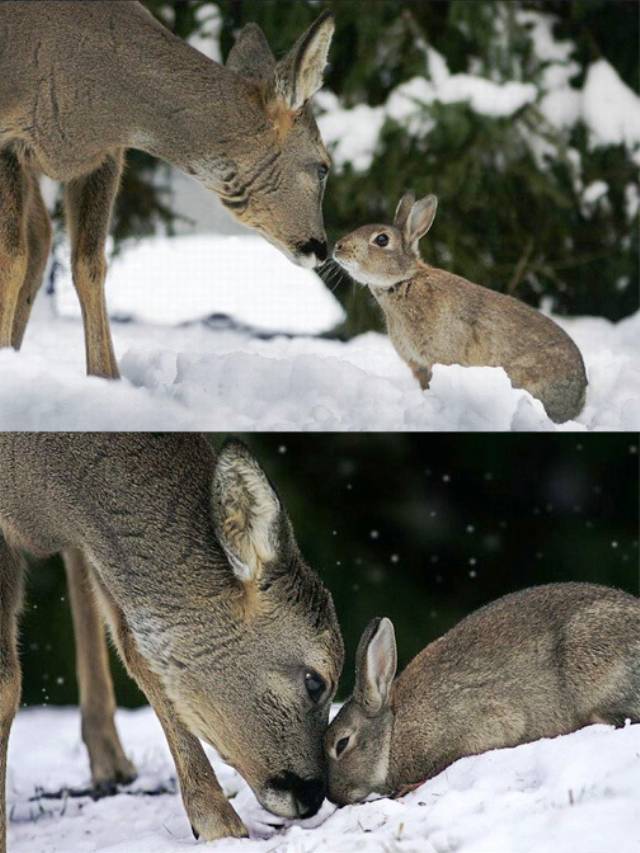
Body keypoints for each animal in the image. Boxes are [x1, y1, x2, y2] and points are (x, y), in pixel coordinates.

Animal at [0, 0, 338, 380]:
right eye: (323, 166)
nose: (320, 247)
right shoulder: (8, 139)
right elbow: (11, 258)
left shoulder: (105, 157)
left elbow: (89, 265)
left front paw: (107, 378)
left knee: (41, 237)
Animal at [0, 436, 344, 848]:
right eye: (315, 681)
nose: (313, 795)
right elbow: (7, 682)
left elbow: (140, 651)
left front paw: (216, 820)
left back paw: (111, 763)